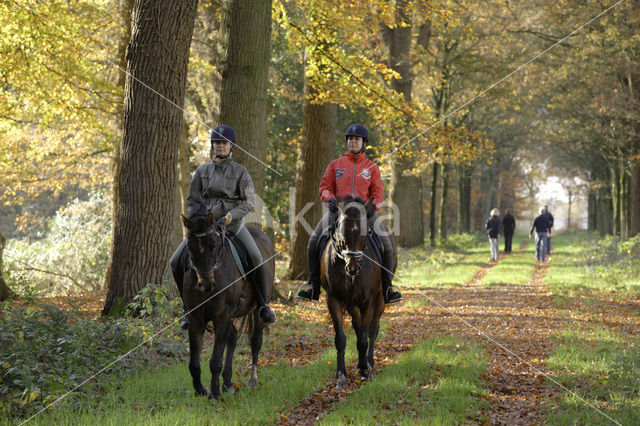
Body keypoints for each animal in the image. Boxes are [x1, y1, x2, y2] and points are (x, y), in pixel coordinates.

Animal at [180, 201, 276, 402]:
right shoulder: (195, 319)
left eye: (213, 245)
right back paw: (227, 383)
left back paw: (252, 381)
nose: (206, 285)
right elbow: (194, 363)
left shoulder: (222, 316)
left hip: (256, 310)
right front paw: (201, 390)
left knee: (255, 341)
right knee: (232, 336)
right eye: (190, 248)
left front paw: (214, 394)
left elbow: (215, 360)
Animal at [320, 196, 390, 386]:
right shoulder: (333, 299)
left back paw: (369, 363)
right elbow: (341, 338)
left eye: (364, 235)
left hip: (380, 299)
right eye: (342, 234)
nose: (353, 268)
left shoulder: (368, 301)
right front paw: (341, 375)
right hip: (351, 303)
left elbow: (364, 338)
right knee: (358, 326)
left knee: (372, 330)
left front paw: (366, 369)